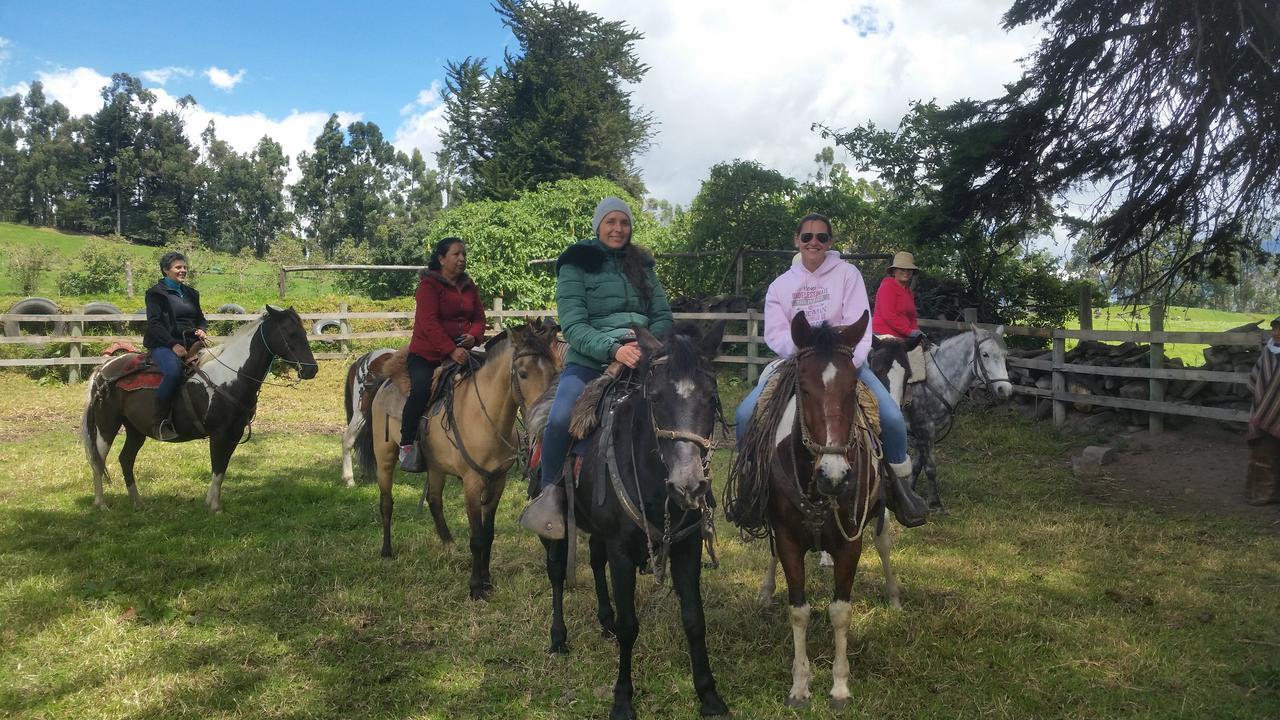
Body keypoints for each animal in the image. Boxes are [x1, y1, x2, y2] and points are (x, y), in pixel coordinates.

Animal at [81, 304, 318, 512]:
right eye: (290, 333)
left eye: (303, 332)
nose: (311, 370)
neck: (230, 376)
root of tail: (103, 370)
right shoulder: (219, 434)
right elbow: (217, 466)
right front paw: (214, 506)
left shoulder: (234, 433)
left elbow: (222, 469)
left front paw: (212, 503)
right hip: (107, 426)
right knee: (97, 460)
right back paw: (101, 504)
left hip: (135, 430)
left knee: (126, 459)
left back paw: (138, 503)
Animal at [360, 316, 560, 597]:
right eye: (522, 373)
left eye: (555, 371)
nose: (546, 417)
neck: (485, 417)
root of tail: (384, 381)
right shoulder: (472, 484)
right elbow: (476, 537)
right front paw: (476, 587)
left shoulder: (497, 481)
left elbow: (488, 534)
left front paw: (487, 579)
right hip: (385, 456)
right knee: (386, 503)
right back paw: (387, 551)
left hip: (435, 466)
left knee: (434, 500)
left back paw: (448, 544)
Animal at [529, 320, 732, 717]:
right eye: (656, 398)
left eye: (711, 397)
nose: (688, 485)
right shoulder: (622, 552)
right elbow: (629, 626)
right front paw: (622, 699)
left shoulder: (686, 548)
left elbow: (694, 620)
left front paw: (709, 695)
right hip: (555, 530)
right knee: (557, 573)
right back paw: (558, 638)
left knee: (595, 561)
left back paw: (603, 620)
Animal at [732, 311, 890, 707]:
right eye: (803, 389)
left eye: (851, 388)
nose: (834, 476)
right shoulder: (788, 539)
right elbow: (799, 611)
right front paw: (800, 685)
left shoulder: (850, 543)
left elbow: (840, 612)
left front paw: (840, 686)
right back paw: (765, 593)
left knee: (885, 543)